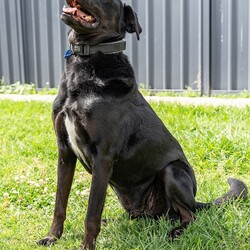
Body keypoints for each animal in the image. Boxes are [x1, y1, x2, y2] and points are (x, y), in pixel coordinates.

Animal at [38, 0, 247, 249]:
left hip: (172, 171)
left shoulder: (103, 157)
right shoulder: (64, 150)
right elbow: (60, 202)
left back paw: (175, 233)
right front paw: (52, 237)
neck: (87, 60)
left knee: (190, 215)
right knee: (141, 217)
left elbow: (91, 214)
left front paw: (86, 246)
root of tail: (197, 200)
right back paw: (115, 221)